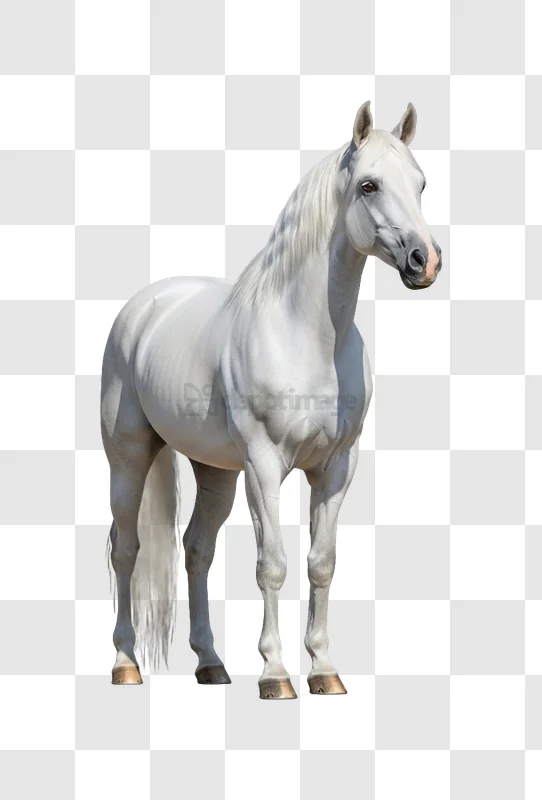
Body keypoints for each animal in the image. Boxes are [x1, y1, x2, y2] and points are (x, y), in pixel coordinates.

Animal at [101, 100, 442, 699]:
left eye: (420, 183)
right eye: (370, 185)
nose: (425, 261)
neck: (307, 335)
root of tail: (143, 308)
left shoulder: (336, 468)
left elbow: (321, 563)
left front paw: (325, 671)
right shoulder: (264, 467)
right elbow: (272, 565)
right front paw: (275, 675)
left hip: (215, 471)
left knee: (197, 549)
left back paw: (211, 664)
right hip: (129, 457)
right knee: (126, 547)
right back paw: (126, 664)